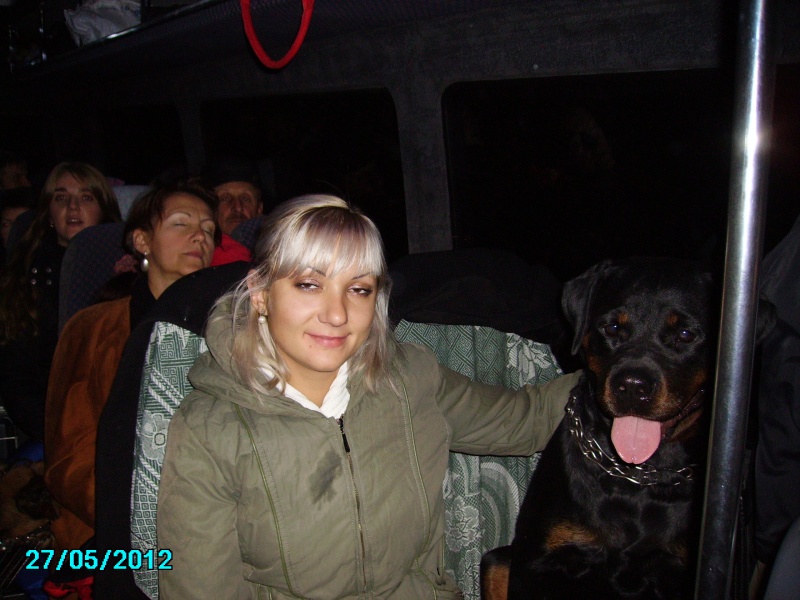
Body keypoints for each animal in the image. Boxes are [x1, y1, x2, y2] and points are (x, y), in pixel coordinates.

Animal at [482, 257, 720, 599]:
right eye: (613, 328)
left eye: (686, 334)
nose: (632, 385)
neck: (636, 478)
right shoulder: (536, 561)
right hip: (498, 561)